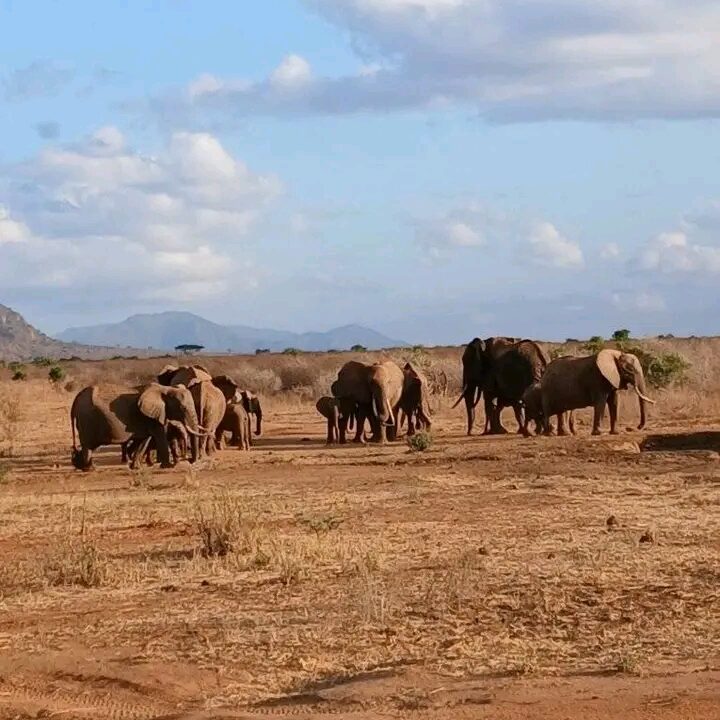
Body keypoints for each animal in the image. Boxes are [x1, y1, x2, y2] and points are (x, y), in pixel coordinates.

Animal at [71, 383, 202, 471]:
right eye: (183, 408)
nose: (190, 460)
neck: (167, 389)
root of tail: (76, 398)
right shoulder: (151, 417)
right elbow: (159, 436)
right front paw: (168, 466)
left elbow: (144, 440)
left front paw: (136, 467)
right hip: (87, 420)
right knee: (87, 445)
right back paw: (89, 468)